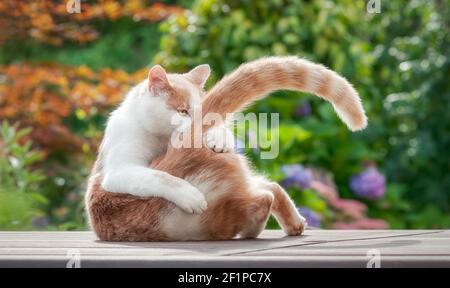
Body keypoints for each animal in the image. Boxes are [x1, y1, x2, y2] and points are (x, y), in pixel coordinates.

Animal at [86, 56, 368, 241]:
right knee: (267, 190)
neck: (161, 140)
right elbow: (160, 177)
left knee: (265, 193)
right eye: (183, 111)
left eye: (203, 111)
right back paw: (292, 224)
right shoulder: (120, 171)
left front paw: (218, 137)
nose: (199, 124)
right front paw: (190, 196)